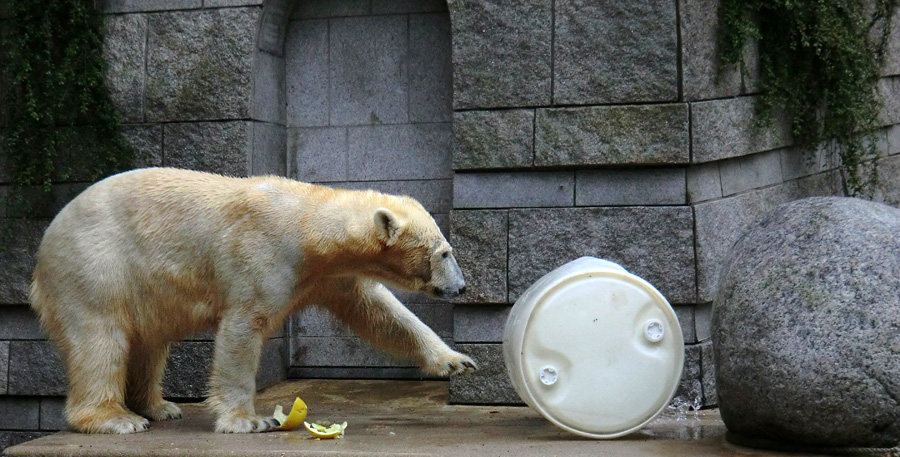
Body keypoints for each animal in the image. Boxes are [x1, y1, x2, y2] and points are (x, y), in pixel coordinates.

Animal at [30, 167, 474, 434]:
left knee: (149, 344)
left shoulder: (330, 276)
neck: (309, 228)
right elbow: (243, 329)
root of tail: (44, 245)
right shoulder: (264, 254)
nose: (462, 288)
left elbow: (379, 312)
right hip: (96, 265)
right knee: (101, 339)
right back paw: (117, 418)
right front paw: (247, 421)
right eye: (444, 253)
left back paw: (158, 407)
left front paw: (456, 361)